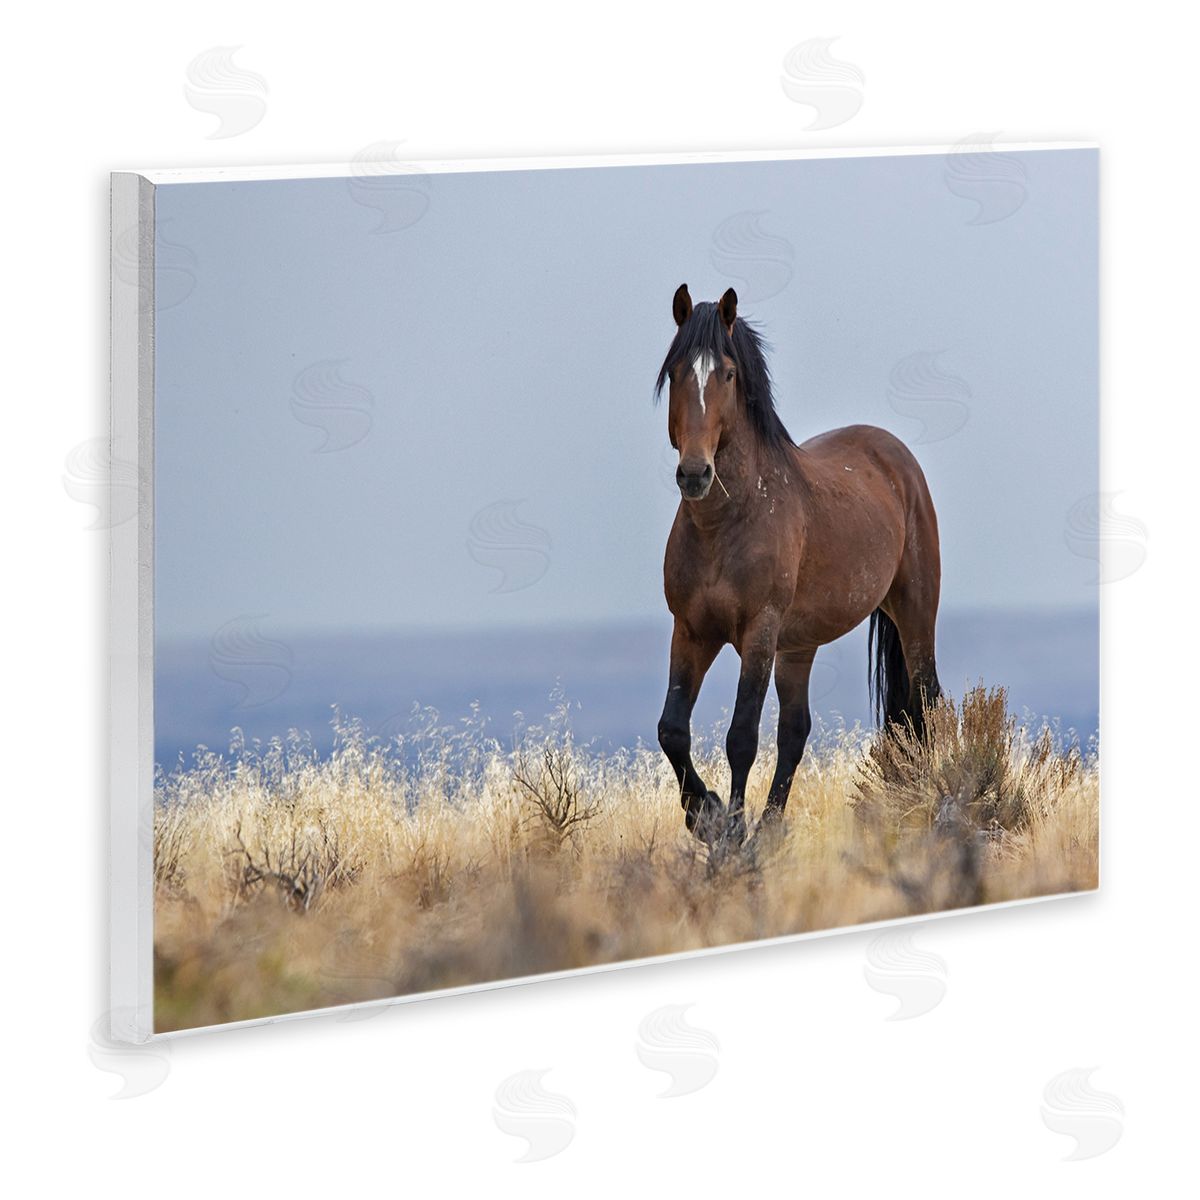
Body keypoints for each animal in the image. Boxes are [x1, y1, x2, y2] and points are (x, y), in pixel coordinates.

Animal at [655, 284, 943, 849]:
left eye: (727, 373)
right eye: (676, 372)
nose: (695, 473)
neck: (725, 523)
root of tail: (897, 457)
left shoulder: (758, 633)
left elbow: (742, 737)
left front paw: (731, 832)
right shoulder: (691, 631)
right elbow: (672, 729)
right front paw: (707, 815)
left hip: (915, 615)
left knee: (925, 705)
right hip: (799, 645)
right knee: (795, 730)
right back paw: (771, 828)